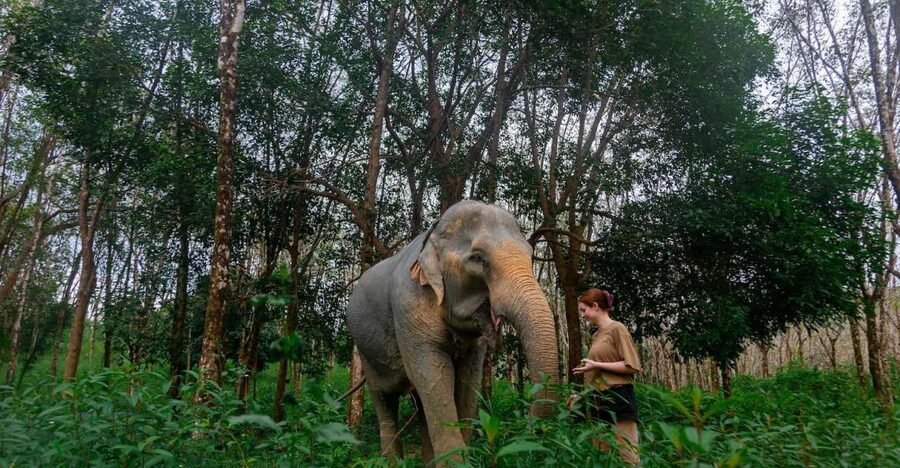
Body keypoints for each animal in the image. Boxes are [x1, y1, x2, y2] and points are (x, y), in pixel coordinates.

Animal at [346, 200, 560, 463]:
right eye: (477, 258)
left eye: (530, 256)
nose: (529, 426)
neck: (433, 235)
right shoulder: (408, 309)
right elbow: (435, 375)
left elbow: (467, 380)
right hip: (366, 353)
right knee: (384, 401)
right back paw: (392, 462)